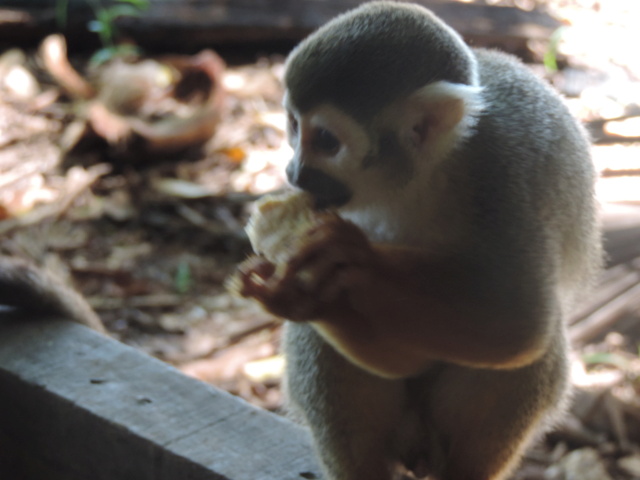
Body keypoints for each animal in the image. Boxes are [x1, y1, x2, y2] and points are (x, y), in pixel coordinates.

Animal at [232, 1, 604, 478]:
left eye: (327, 141)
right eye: (294, 127)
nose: (294, 173)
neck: (424, 173)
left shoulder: (499, 171)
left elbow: (518, 321)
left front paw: (356, 261)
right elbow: (400, 359)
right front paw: (316, 301)